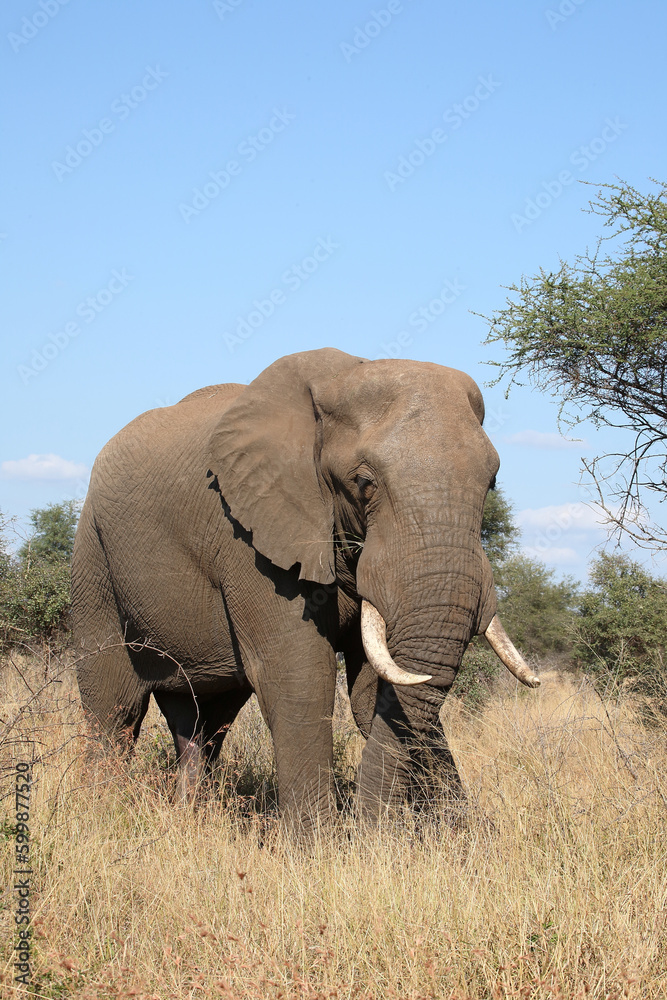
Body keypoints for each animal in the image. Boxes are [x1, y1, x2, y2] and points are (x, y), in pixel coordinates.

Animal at [72, 348, 539, 829]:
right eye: (364, 483)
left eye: (492, 483)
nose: (369, 829)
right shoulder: (249, 535)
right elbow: (299, 675)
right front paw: (320, 845)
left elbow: (371, 693)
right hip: (94, 559)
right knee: (114, 709)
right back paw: (99, 813)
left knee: (206, 721)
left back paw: (190, 817)